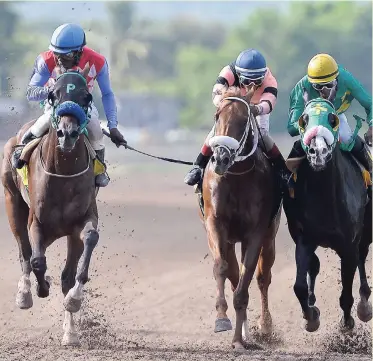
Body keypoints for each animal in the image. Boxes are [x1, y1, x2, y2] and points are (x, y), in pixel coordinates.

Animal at [0, 66, 99, 344]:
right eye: (54, 94)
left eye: (86, 97)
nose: (68, 134)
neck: (63, 173)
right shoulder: (37, 222)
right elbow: (36, 261)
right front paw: (40, 287)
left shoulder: (81, 221)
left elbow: (88, 242)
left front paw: (74, 301)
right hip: (12, 203)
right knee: (24, 252)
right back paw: (25, 293)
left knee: (64, 272)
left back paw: (70, 330)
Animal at [198, 86, 280, 348]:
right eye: (217, 117)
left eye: (244, 120)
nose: (221, 158)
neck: (236, 176)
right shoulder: (215, 224)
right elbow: (222, 268)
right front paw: (222, 319)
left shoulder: (255, 233)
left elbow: (246, 283)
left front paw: (239, 340)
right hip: (229, 239)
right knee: (234, 275)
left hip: (269, 238)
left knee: (262, 278)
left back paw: (263, 327)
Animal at [284, 91, 370, 334]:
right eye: (304, 119)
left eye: (332, 119)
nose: (318, 152)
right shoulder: (305, 239)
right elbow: (299, 285)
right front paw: (310, 316)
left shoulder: (348, 244)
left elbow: (346, 293)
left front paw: (347, 324)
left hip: (366, 232)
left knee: (362, 257)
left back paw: (364, 305)